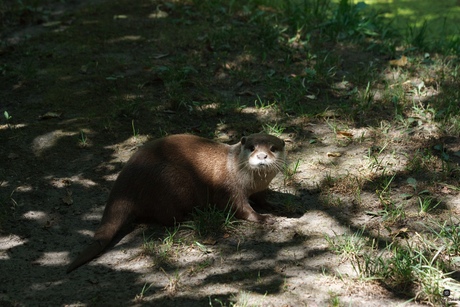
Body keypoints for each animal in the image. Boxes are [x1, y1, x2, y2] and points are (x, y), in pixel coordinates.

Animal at [66, 134, 286, 274]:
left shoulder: (260, 190)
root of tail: (125, 180)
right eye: (252, 148)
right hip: (170, 182)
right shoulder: (230, 188)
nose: (262, 156)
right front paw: (264, 218)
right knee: (166, 217)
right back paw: (190, 218)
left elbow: (262, 199)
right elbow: (241, 209)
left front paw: (276, 206)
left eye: (273, 148)